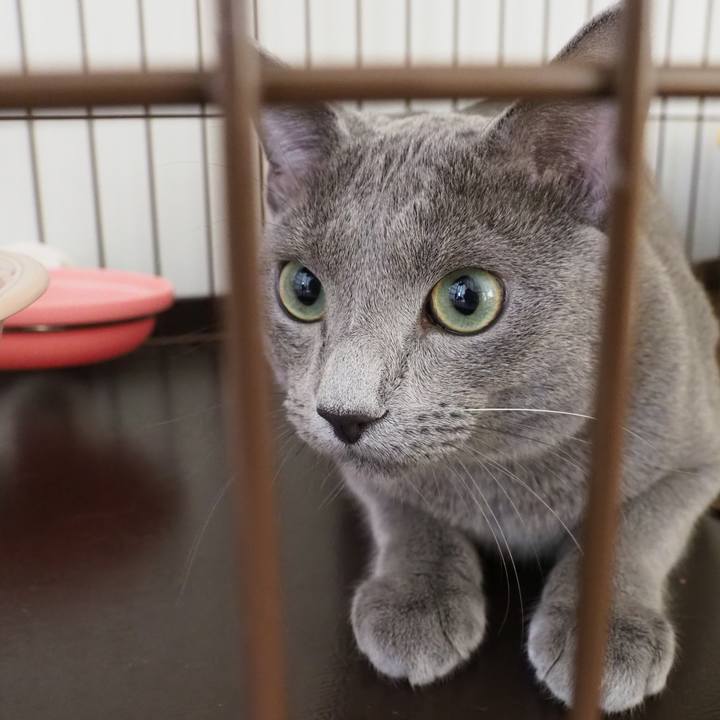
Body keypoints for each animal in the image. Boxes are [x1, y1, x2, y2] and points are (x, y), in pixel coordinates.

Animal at [258, 5, 720, 714]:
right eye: (302, 289)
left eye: (466, 299)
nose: (343, 413)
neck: (507, 468)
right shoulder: (362, 473)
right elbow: (400, 506)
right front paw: (416, 603)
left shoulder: (697, 460)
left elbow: (637, 525)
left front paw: (603, 635)